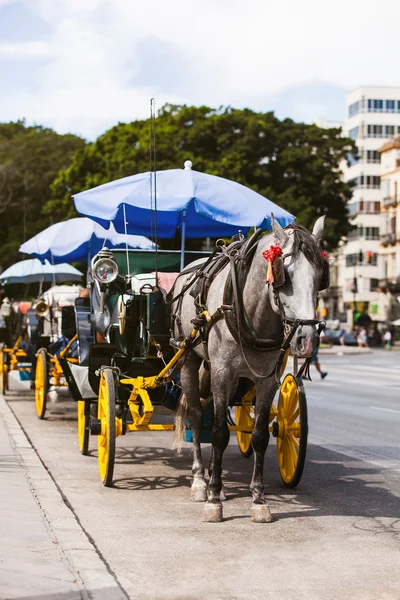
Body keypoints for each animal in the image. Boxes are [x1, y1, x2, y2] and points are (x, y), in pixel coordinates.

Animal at [171, 214, 324, 520]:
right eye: (284, 273)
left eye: (319, 276)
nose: (307, 340)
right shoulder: (221, 372)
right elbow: (218, 434)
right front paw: (213, 500)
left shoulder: (267, 380)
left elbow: (260, 435)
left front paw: (258, 499)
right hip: (189, 357)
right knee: (196, 414)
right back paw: (201, 480)